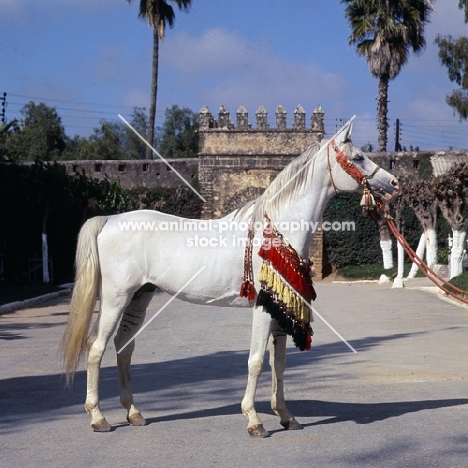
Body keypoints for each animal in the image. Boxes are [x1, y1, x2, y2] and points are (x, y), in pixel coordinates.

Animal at [59, 120, 398, 436]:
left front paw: (286, 416)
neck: (277, 231)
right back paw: (98, 417)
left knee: (124, 347)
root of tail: (109, 220)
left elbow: (279, 363)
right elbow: (256, 360)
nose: (394, 182)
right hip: (116, 298)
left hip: (140, 297)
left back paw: (134, 413)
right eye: (357, 157)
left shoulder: (279, 309)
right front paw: (254, 420)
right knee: (96, 349)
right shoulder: (263, 308)